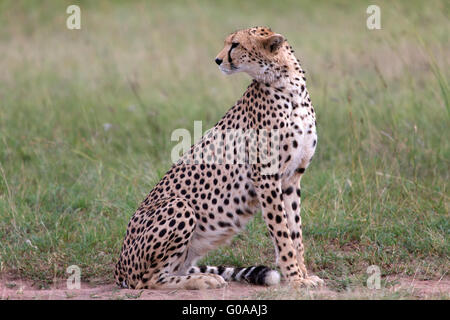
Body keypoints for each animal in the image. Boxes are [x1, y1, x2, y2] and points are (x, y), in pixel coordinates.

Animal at [113, 26, 324, 288]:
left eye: (235, 44)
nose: (217, 60)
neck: (288, 85)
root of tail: (119, 265)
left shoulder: (292, 178)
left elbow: (295, 232)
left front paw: (303, 274)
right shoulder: (266, 177)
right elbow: (282, 233)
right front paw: (295, 278)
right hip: (180, 206)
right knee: (149, 281)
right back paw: (204, 280)